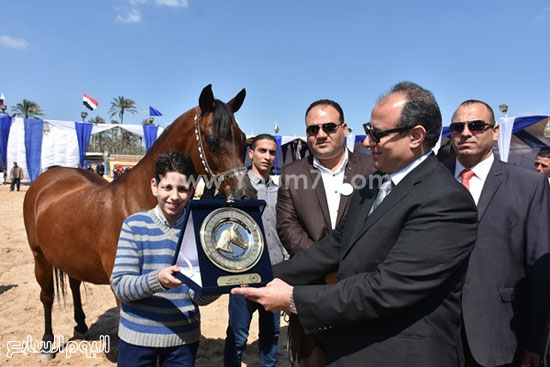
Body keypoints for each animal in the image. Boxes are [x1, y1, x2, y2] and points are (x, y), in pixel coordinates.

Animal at [23, 84, 256, 362]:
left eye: (243, 139)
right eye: (211, 140)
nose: (246, 195)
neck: (139, 199)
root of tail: (49, 176)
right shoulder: (123, 288)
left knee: (74, 283)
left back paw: (80, 324)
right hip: (39, 256)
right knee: (46, 297)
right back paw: (47, 344)